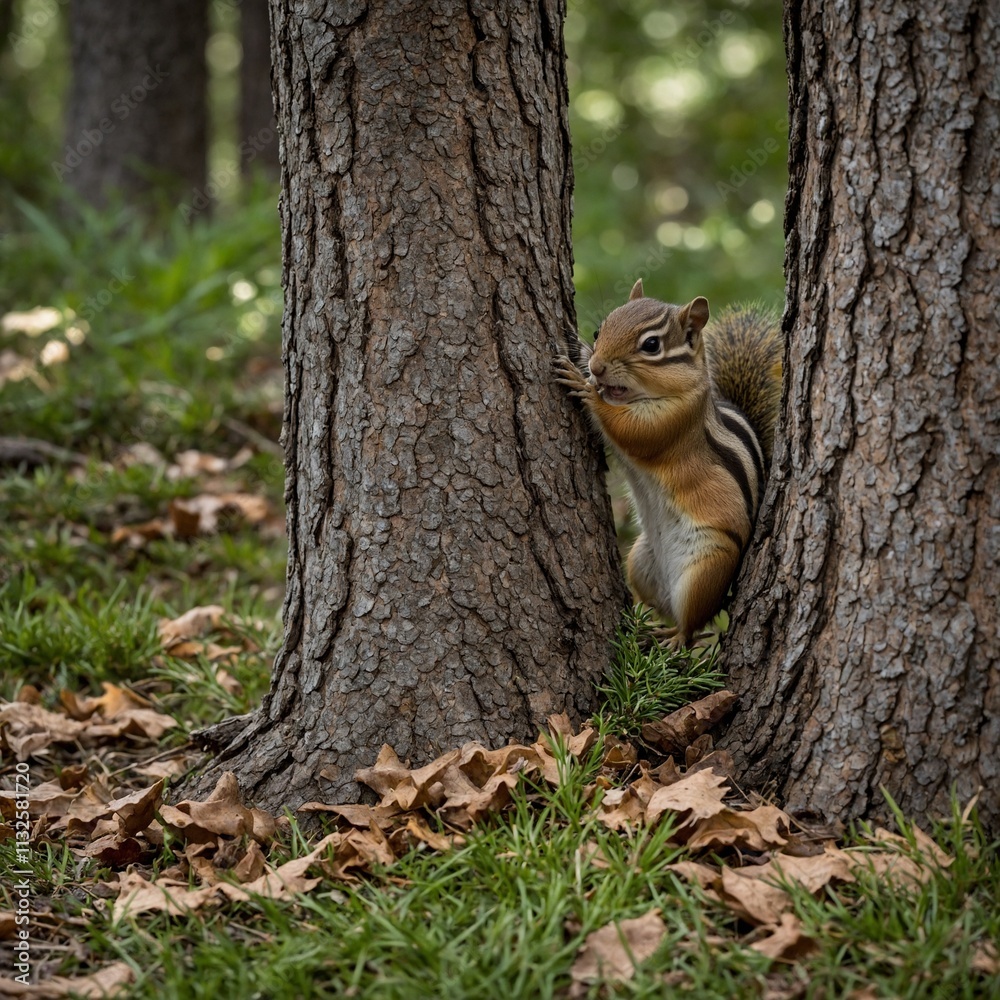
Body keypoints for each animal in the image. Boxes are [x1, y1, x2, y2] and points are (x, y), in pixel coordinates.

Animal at [555, 279, 782, 649]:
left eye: (651, 345)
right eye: (599, 329)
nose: (598, 367)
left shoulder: (672, 422)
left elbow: (631, 429)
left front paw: (583, 385)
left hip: (706, 569)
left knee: (692, 626)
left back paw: (674, 639)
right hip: (639, 559)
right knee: (660, 607)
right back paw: (643, 624)